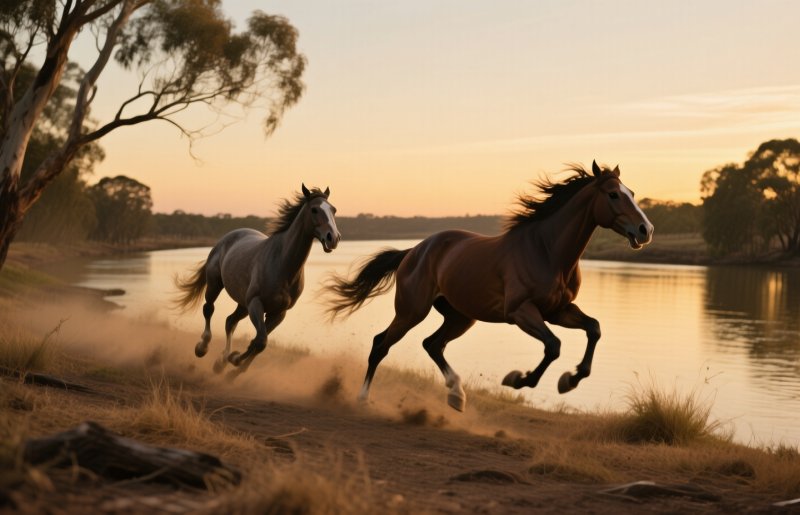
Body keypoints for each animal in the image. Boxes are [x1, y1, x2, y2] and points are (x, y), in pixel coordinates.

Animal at [175, 184, 341, 373]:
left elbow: (259, 342)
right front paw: (235, 360)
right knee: (208, 309)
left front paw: (234, 364)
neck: (282, 265)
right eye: (314, 209)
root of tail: (226, 238)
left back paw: (221, 362)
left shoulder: (278, 313)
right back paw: (202, 348)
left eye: (333, 210)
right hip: (216, 285)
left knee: (230, 321)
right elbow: (261, 341)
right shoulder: (256, 303)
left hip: (243, 304)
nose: (333, 238)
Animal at [325, 162, 653, 411]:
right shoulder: (521, 312)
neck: (547, 251)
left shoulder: (558, 311)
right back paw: (363, 398)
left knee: (432, 344)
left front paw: (570, 380)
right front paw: (520, 379)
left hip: (460, 317)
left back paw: (456, 395)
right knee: (381, 344)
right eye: (613, 194)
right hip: (411, 311)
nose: (645, 230)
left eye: (632, 193)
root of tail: (413, 251)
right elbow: (553, 345)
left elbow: (593, 329)